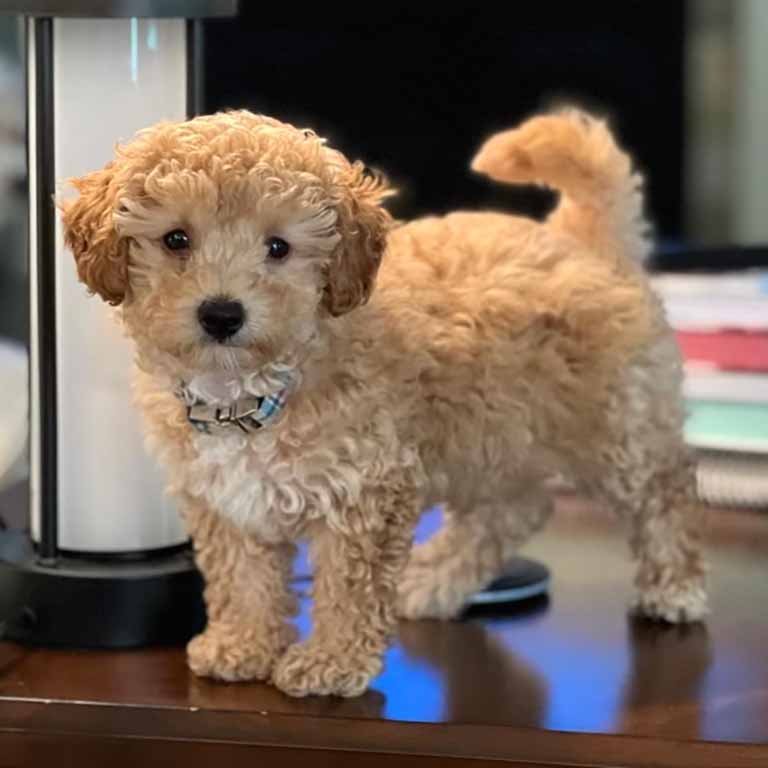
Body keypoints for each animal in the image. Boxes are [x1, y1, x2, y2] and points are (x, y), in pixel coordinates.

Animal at [61, 109, 708, 704]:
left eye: (278, 247)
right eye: (176, 240)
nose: (222, 314)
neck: (252, 389)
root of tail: (580, 238)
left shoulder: (366, 492)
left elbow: (349, 588)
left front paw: (331, 662)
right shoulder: (224, 500)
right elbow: (241, 576)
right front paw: (242, 644)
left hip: (616, 424)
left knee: (663, 493)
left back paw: (674, 587)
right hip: (490, 433)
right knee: (512, 510)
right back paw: (435, 581)